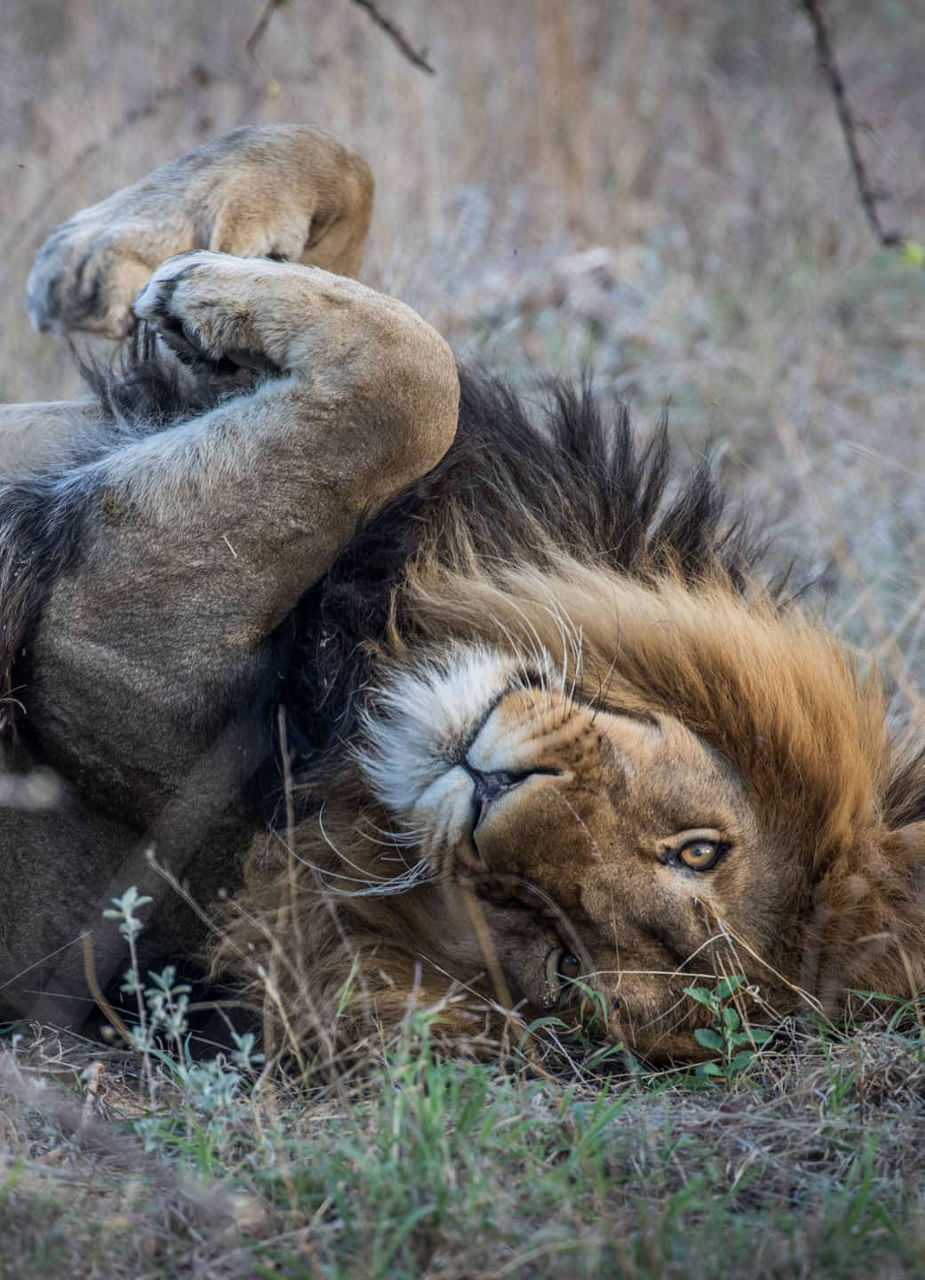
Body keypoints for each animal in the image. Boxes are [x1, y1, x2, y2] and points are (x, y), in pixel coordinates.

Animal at [0, 124, 921, 1064]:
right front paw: (118, 259)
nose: (492, 789)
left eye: (563, 960)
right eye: (700, 850)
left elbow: (415, 386)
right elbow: (350, 191)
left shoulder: (106, 639)